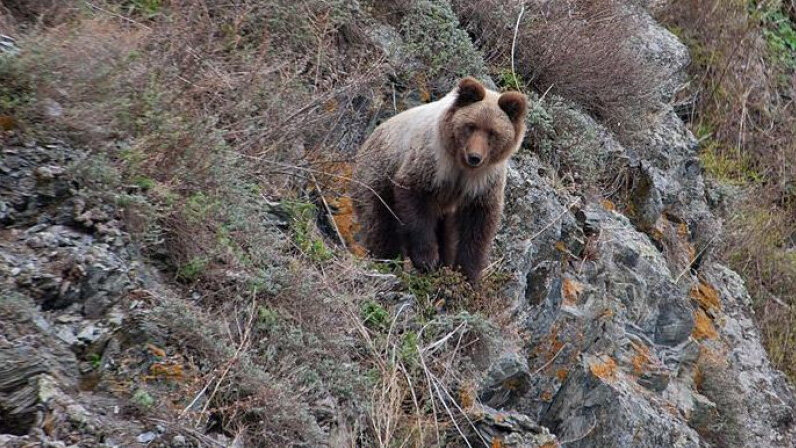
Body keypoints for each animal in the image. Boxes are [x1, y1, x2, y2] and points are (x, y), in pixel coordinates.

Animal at [352, 75, 524, 282]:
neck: (460, 165)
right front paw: (427, 259)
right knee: (380, 224)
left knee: (447, 236)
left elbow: (478, 225)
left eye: (492, 132)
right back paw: (389, 262)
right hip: (377, 176)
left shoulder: (485, 180)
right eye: (471, 126)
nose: (474, 157)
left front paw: (467, 274)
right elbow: (415, 201)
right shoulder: (432, 162)